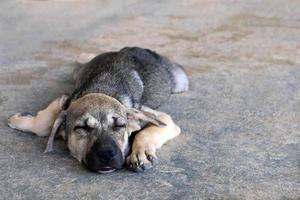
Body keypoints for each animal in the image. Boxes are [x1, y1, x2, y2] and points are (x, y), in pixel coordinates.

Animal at [7, 47, 188, 173]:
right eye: (82, 128)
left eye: (120, 126)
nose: (107, 154)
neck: (101, 90)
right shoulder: (65, 99)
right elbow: (44, 124)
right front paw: (18, 120)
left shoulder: (162, 118)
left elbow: (147, 132)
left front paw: (140, 153)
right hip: (79, 72)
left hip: (181, 82)